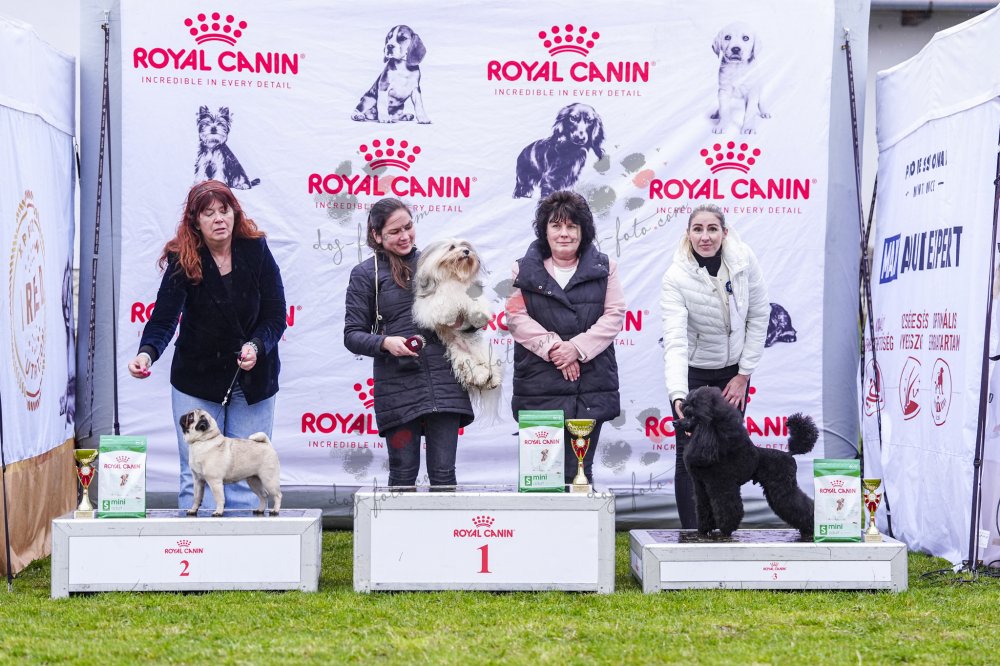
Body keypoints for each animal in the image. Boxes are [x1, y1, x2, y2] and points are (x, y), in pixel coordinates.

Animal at [412, 239, 502, 392]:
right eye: (452, 247)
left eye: (465, 246)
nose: (466, 251)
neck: (453, 276)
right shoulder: (430, 305)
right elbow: (443, 306)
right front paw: (448, 316)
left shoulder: (472, 294)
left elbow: (477, 305)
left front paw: (479, 316)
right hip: (460, 354)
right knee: (473, 369)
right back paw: (482, 377)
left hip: (480, 350)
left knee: (488, 366)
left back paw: (493, 380)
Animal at [677, 386, 817, 537]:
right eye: (684, 414)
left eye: (692, 416)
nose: (675, 422)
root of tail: (789, 453)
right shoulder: (701, 486)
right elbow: (703, 508)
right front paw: (704, 530)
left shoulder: (721, 485)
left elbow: (726, 508)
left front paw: (726, 530)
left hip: (783, 486)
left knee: (799, 504)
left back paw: (810, 528)